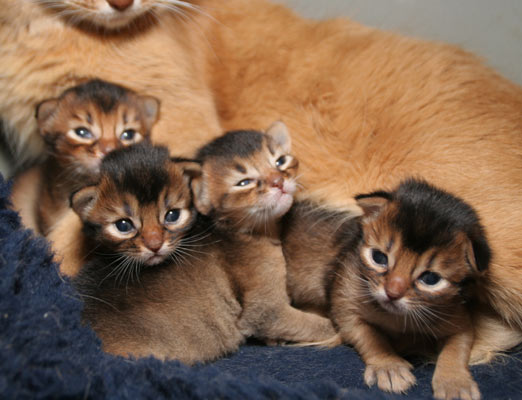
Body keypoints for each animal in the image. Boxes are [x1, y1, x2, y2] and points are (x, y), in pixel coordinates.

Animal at [280, 180, 488, 398]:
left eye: (431, 279)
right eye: (379, 257)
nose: (392, 293)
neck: (396, 318)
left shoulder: (459, 319)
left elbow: (456, 349)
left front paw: (455, 383)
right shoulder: (346, 306)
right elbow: (371, 337)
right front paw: (389, 367)